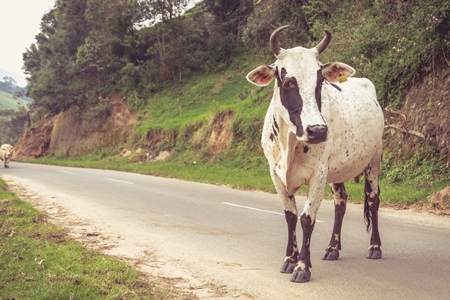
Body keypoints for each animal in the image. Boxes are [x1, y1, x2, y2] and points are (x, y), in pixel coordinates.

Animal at [246, 25, 384, 282]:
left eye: (320, 81)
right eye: (288, 81)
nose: (318, 130)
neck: (290, 142)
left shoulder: (318, 174)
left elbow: (307, 218)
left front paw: (302, 267)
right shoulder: (275, 174)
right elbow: (290, 215)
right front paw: (289, 259)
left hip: (374, 159)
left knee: (373, 198)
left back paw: (374, 247)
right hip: (337, 171)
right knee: (341, 201)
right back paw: (332, 248)